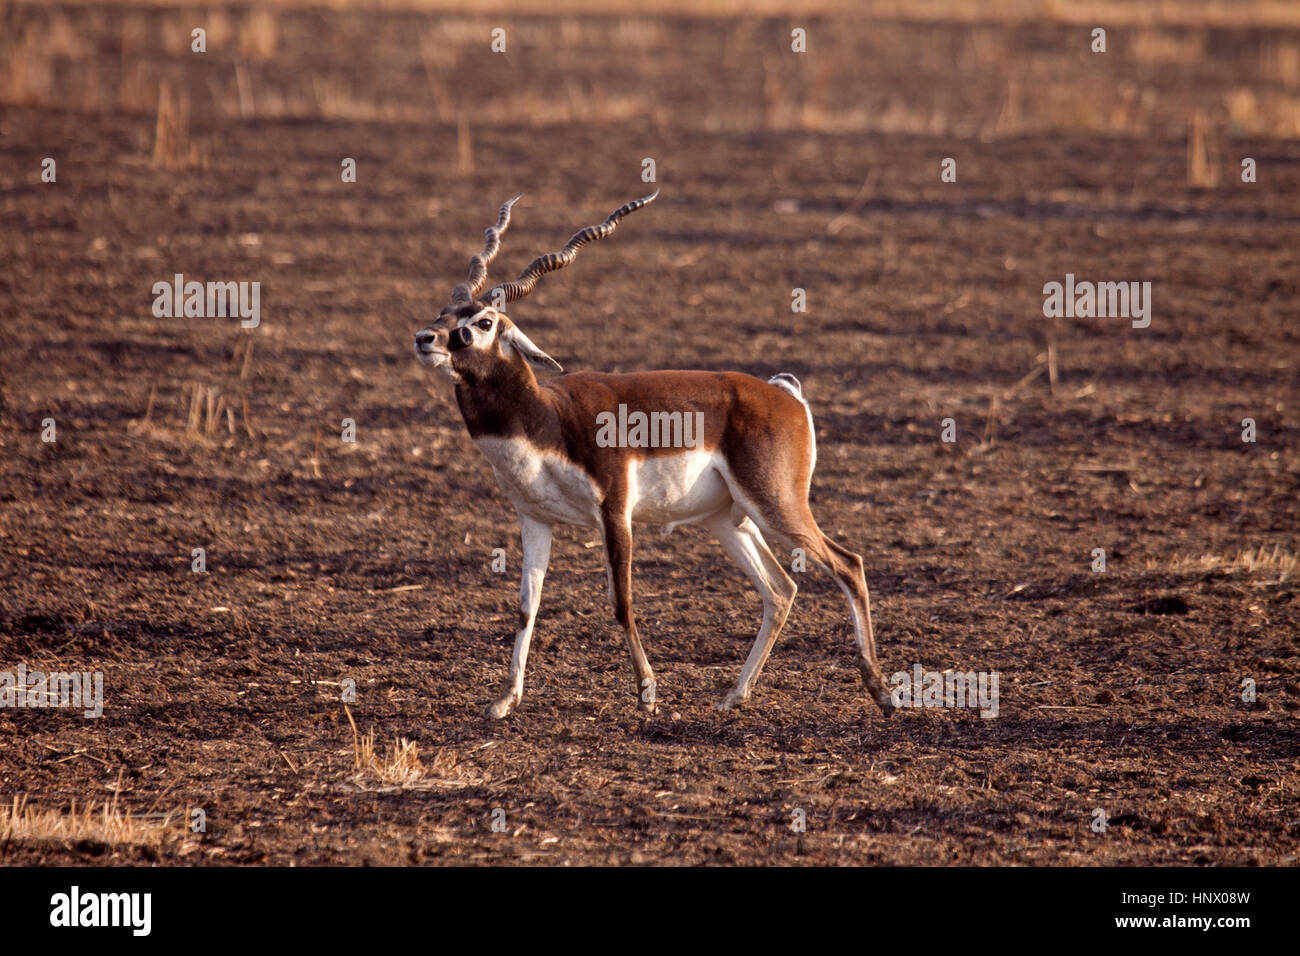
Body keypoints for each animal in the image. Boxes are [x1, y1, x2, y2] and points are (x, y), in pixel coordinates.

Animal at [416, 192, 894, 717]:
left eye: (483, 323)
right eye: (444, 311)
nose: (424, 339)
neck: (547, 417)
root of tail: (784, 393)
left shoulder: (615, 511)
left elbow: (621, 602)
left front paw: (647, 691)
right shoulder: (534, 518)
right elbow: (527, 608)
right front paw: (504, 700)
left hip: (775, 503)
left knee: (848, 564)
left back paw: (881, 693)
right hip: (727, 519)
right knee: (781, 589)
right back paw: (734, 695)